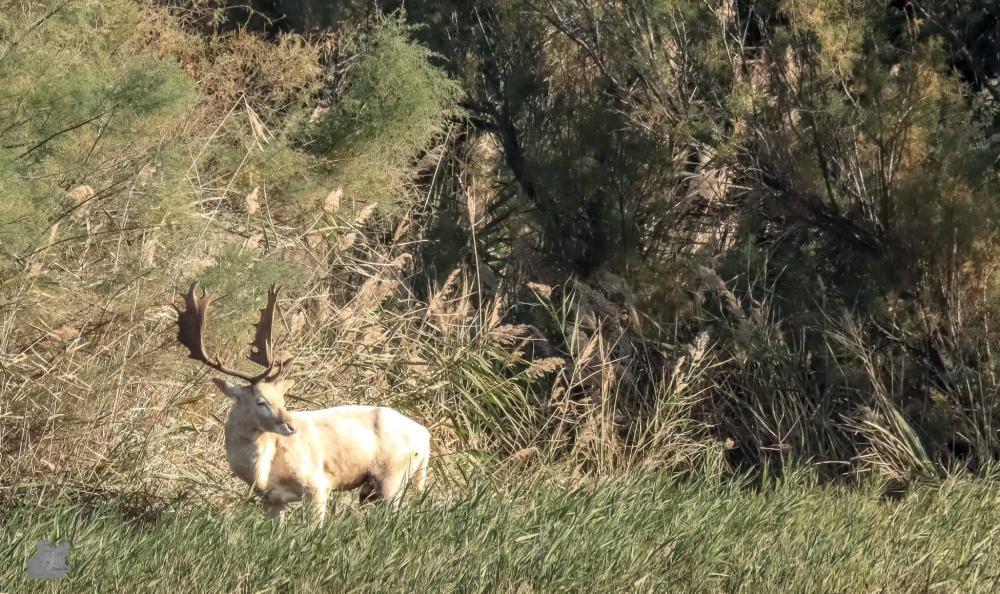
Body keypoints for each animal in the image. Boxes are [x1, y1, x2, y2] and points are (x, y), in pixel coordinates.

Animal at [175, 284, 430, 520]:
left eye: (282, 399)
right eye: (261, 401)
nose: (291, 426)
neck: (264, 472)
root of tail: (424, 435)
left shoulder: (317, 485)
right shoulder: (271, 500)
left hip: (393, 477)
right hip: (375, 487)